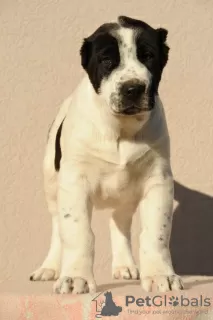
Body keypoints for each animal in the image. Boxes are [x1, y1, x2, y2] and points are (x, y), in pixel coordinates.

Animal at [29, 16, 183, 294]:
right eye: (107, 61)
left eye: (148, 56)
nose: (133, 88)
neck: (120, 128)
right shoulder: (74, 183)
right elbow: (78, 233)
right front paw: (75, 278)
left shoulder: (159, 181)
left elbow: (156, 232)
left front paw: (160, 275)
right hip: (52, 185)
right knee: (58, 227)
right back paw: (50, 268)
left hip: (125, 196)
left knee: (119, 223)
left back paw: (124, 265)